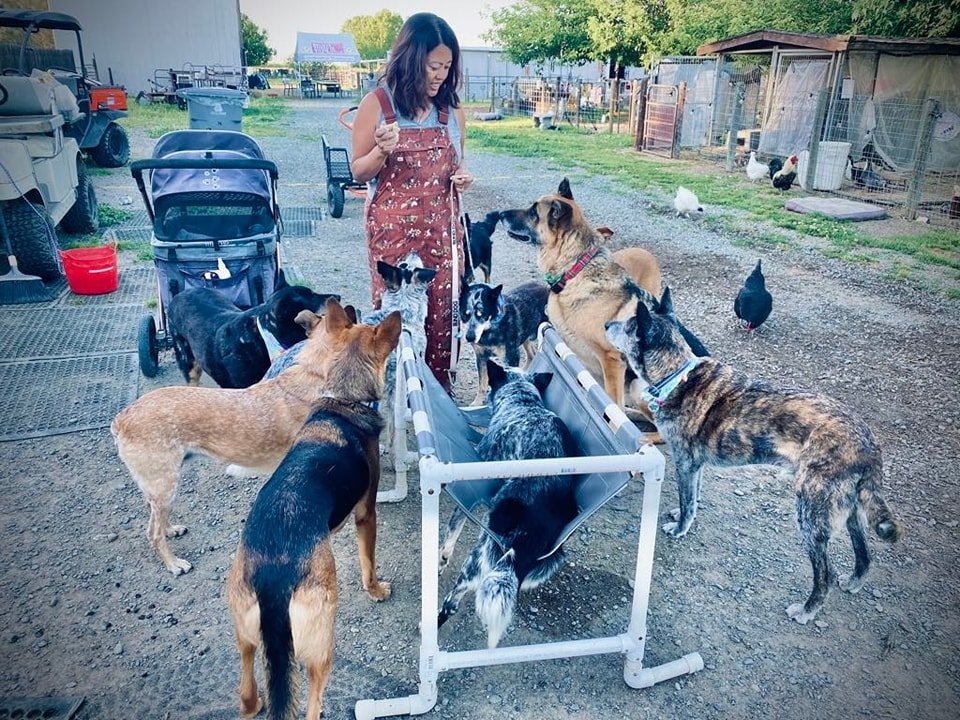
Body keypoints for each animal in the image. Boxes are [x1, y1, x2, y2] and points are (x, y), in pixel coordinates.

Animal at [110, 298, 400, 572]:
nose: (355, 307)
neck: (315, 372)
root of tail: (120, 419)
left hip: (162, 486)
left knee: (155, 515)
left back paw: (171, 529)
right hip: (164, 484)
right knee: (152, 532)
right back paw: (174, 564)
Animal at [227, 302, 400, 720]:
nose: (353, 306)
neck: (344, 400)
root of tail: (273, 580)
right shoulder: (366, 513)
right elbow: (368, 563)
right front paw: (376, 590)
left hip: (245, 635)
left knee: (247, 686)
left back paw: (252, 702)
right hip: (321, 646)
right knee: (312, 704)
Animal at [498, 179, 708, 424]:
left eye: (533, 212)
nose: (500, 214)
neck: (575, 268)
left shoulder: (611, 361)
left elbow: (612, 405)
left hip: (639, 387)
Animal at [604, 292, 904, 624]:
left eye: (628, 325)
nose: (605, 324)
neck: (677, 376)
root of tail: (867, 442)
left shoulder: (684, 462)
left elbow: (687, 502)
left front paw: (680, 528)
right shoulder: (696, 465)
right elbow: (693, 498)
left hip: (812, 513)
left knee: (826, 574)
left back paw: (806, 611)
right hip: (850, 510)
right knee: (864, 553)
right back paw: (854, 582)